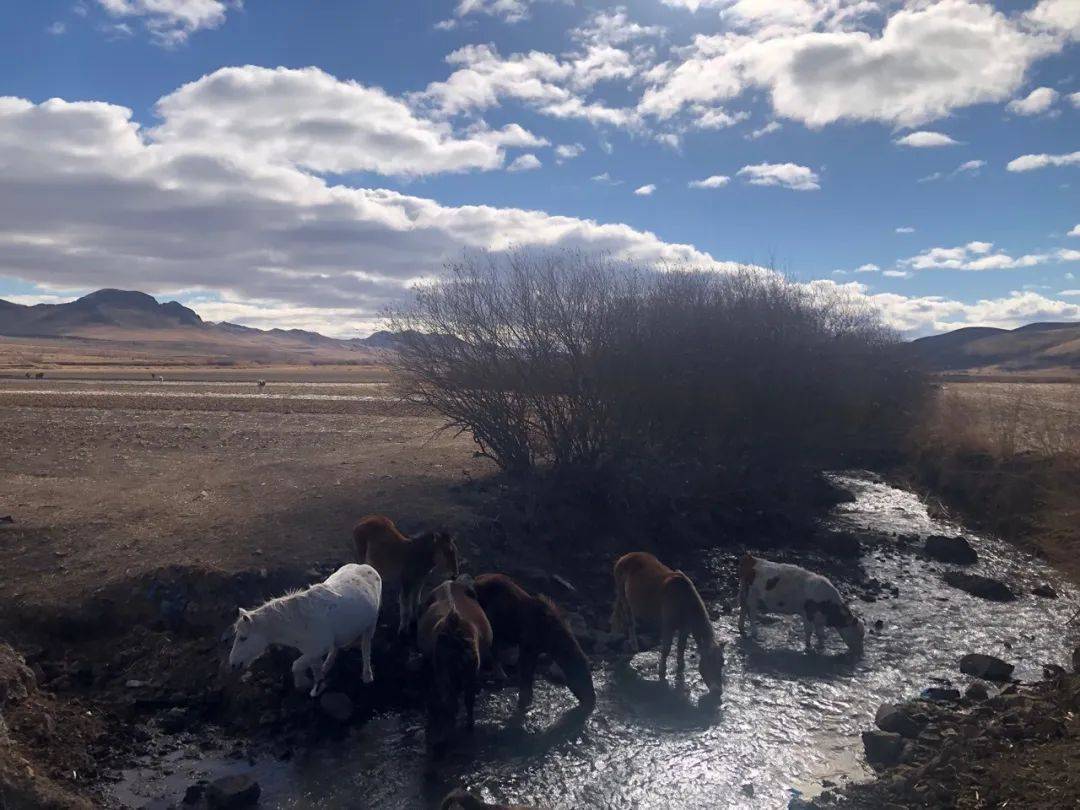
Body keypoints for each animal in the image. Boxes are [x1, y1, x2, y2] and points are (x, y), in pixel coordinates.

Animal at [225, 565, 382, 699]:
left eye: (243, 638)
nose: (233, 664)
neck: (299, 622)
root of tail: (367, 567)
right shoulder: (312, 652)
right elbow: (314, 668)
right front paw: (318, 685)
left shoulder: (316, 650)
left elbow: (296, 666)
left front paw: (302, 683)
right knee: (336, 647)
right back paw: (328, 665)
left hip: (371, 625)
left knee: (366, 647)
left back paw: (367, 675)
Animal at [473, 574, 596, 712]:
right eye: (583, 676)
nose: (592, 701)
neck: (549, 635)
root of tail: (476, 580)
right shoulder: (527, 649)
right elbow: (525, 674)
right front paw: (524, 701)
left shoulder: (534, 651)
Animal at [609, 552, 725, 691]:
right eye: (709, 662)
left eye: (722, 663)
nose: (717, 691)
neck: (684, 601)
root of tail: (625, 556)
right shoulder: (668, 626)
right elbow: (666, 649)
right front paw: (662, 671)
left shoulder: (685, 628)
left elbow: (681, 647)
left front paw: (680, 668)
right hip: (623, 595)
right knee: (629, 619)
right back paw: (633, 644)